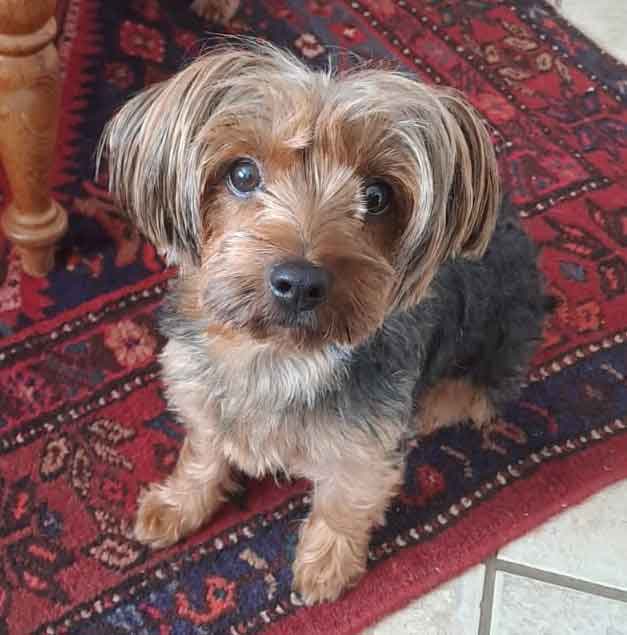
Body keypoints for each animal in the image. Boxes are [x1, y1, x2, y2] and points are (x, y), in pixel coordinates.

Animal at [100, 41, 552, 608]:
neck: (277, 354)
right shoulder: (196, 386)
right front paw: (179, 503)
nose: (300, 281)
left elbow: (345, 502)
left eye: (377, 195)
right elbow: (203, 449)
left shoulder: (367, 443)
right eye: (242, 175)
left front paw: (325, 567)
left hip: (494, 353)